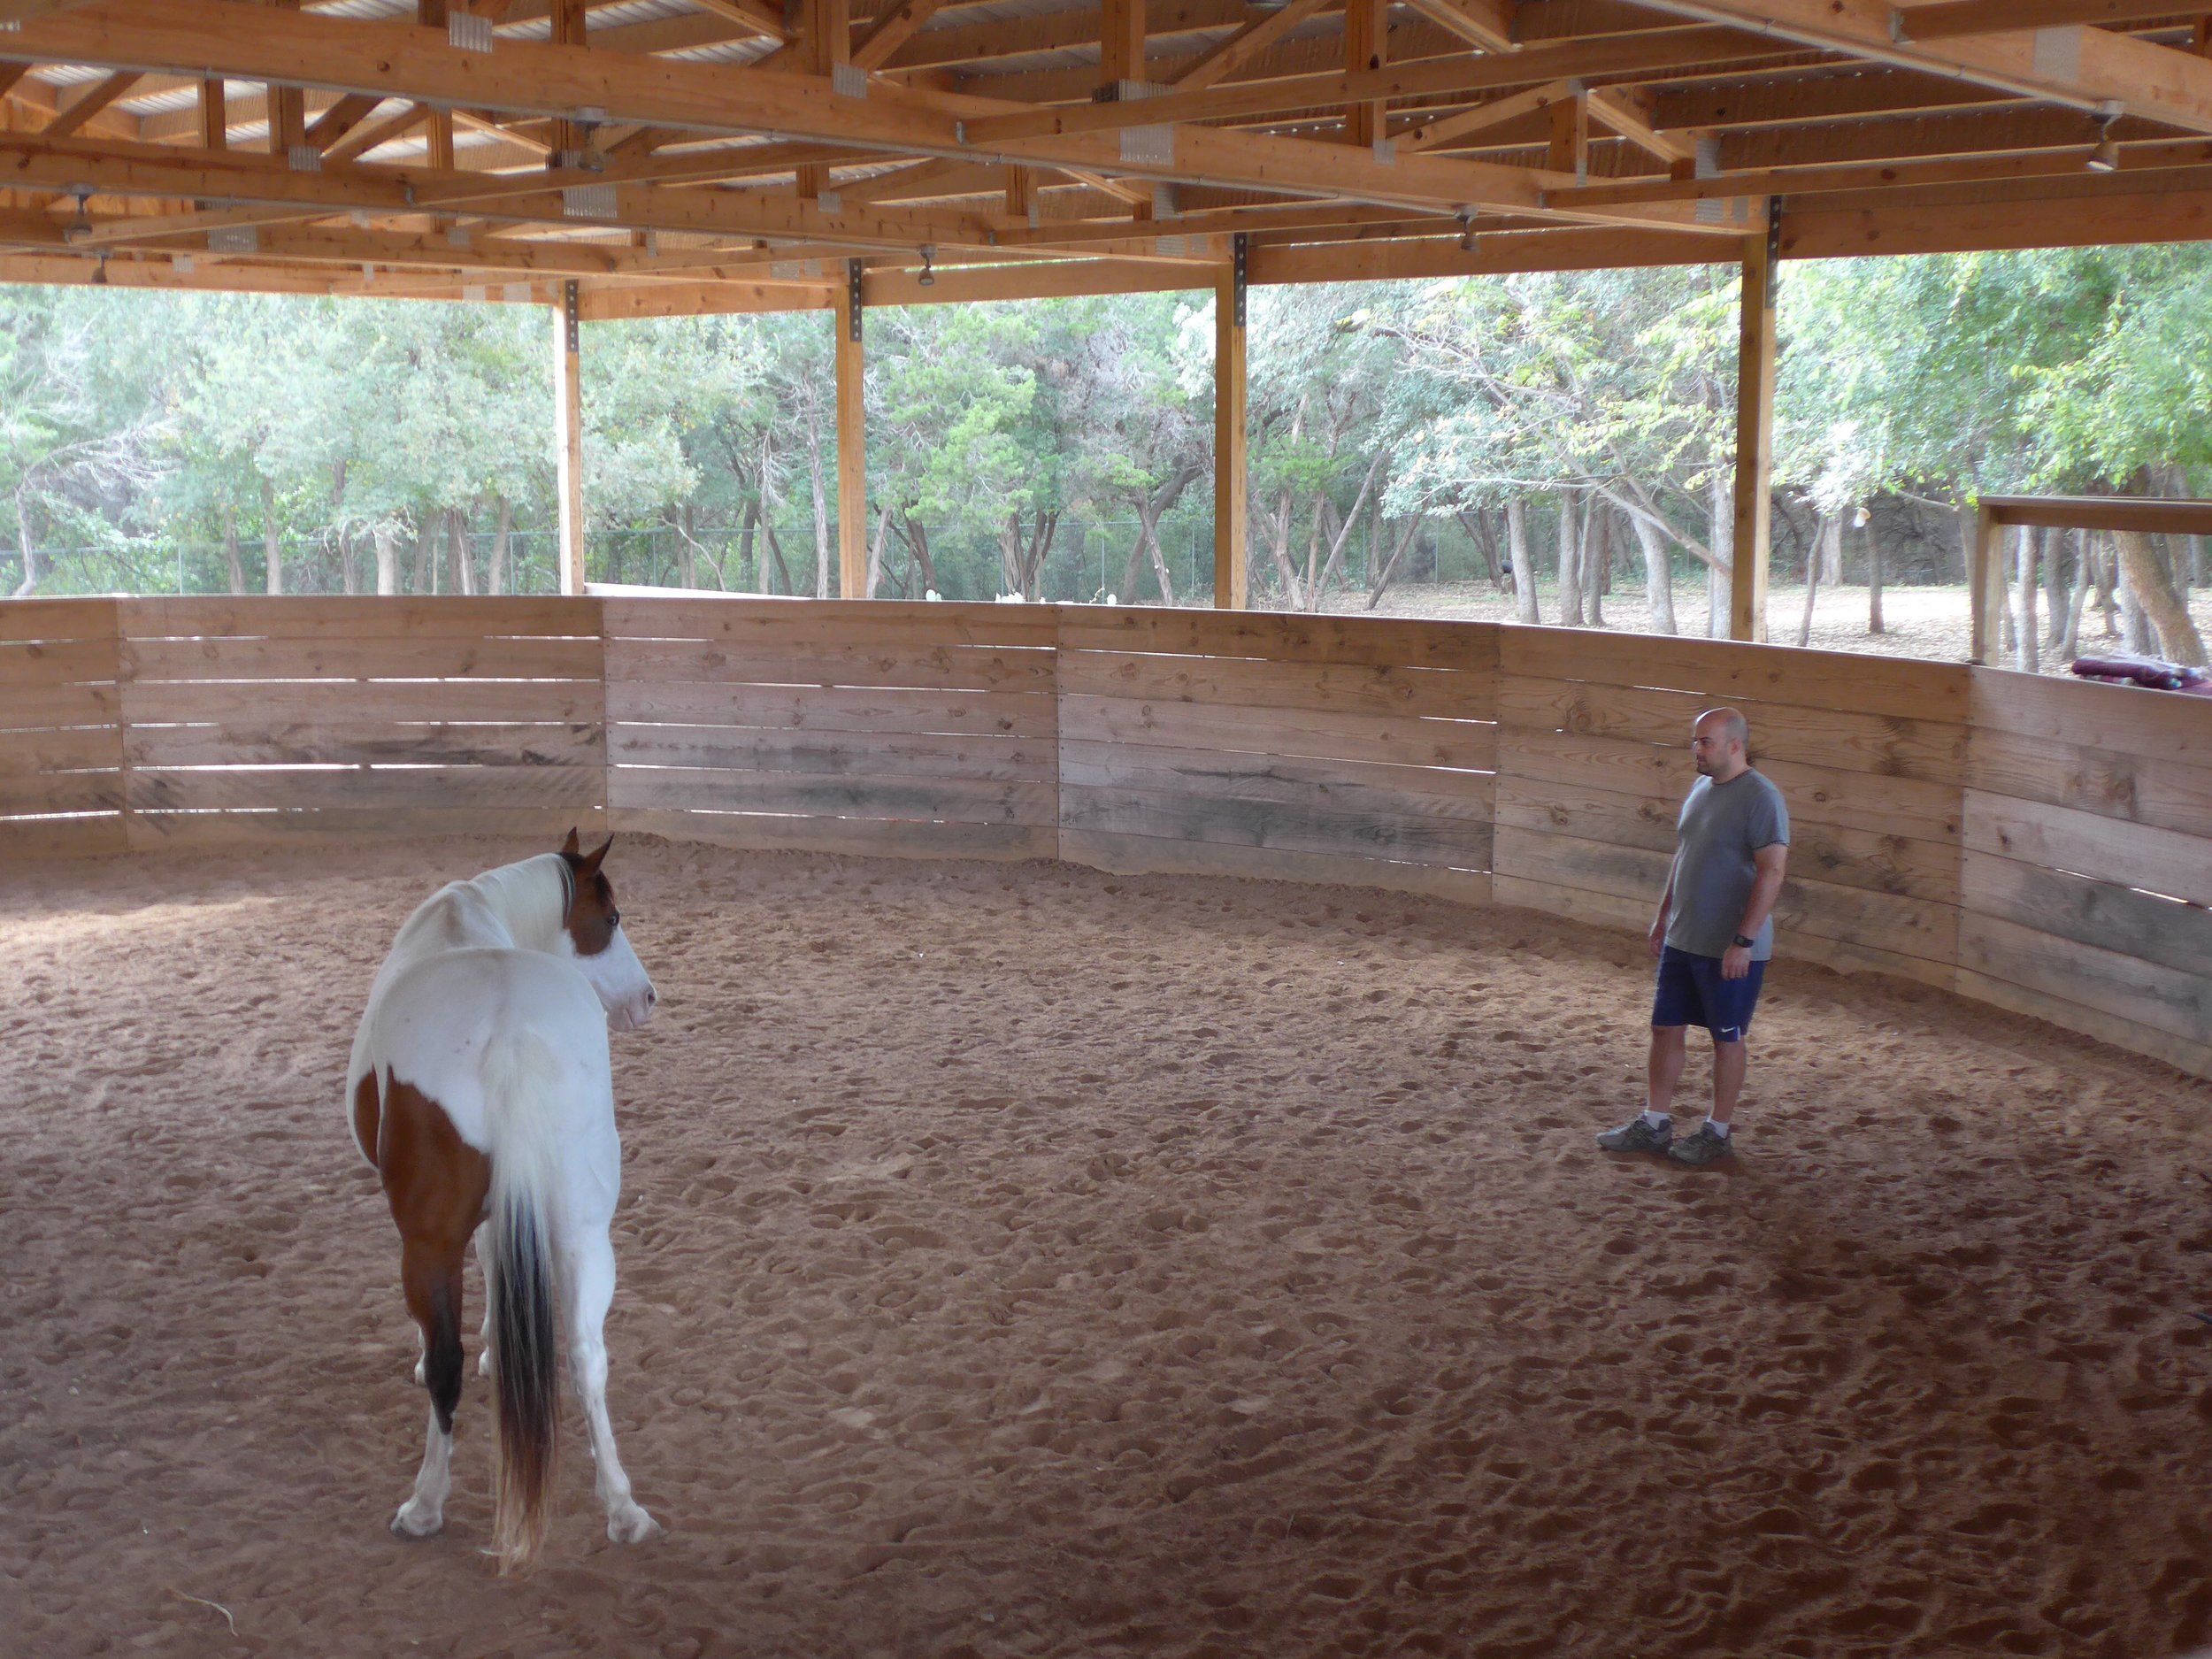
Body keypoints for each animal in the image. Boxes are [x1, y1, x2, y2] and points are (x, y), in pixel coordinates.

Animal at [345, 829, 661, 1572]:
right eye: (610, 919)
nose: (647, 997)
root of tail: (509, 1029)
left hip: (427, 1243)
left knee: (446, 1365)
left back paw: (424, 1505)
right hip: (584, 1234)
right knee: (588, 1356)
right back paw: (623, 1508)